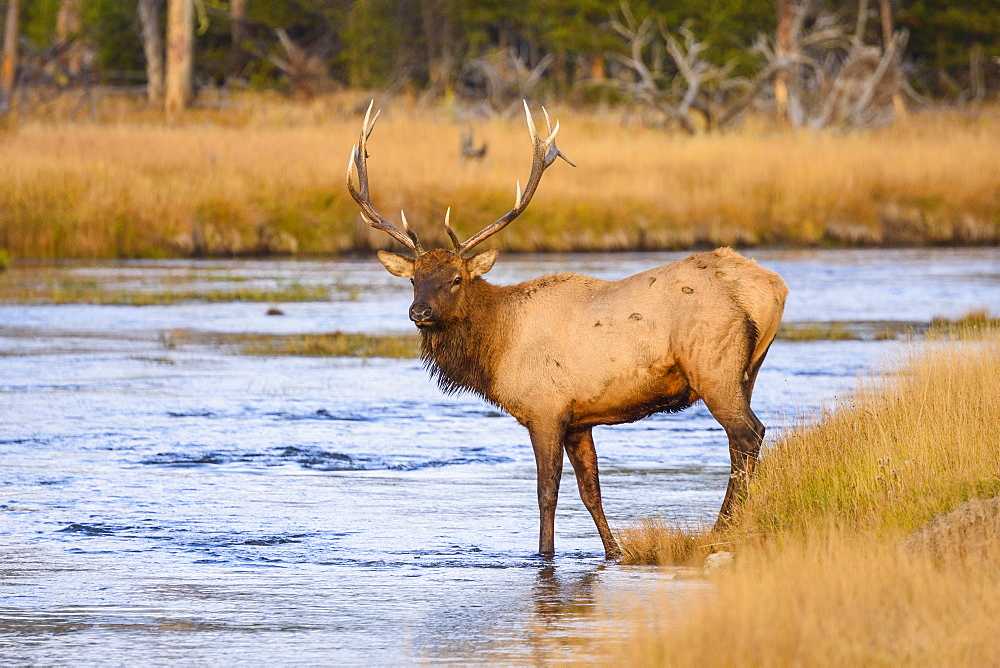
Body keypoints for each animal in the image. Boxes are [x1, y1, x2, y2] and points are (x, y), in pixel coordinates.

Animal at [348, 100, 784, 560]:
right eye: (414, 279)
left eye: (456, 279)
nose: (419, 311)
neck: (497, 345)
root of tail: (772, 287)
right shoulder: (580, 420)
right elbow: (591, 491)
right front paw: (613, 552)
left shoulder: (544, 410)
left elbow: (547, 492)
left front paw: (544, 553)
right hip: (749, 370)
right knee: (745, 439)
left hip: (714, 367)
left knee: (747, 435)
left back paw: (721, 528)